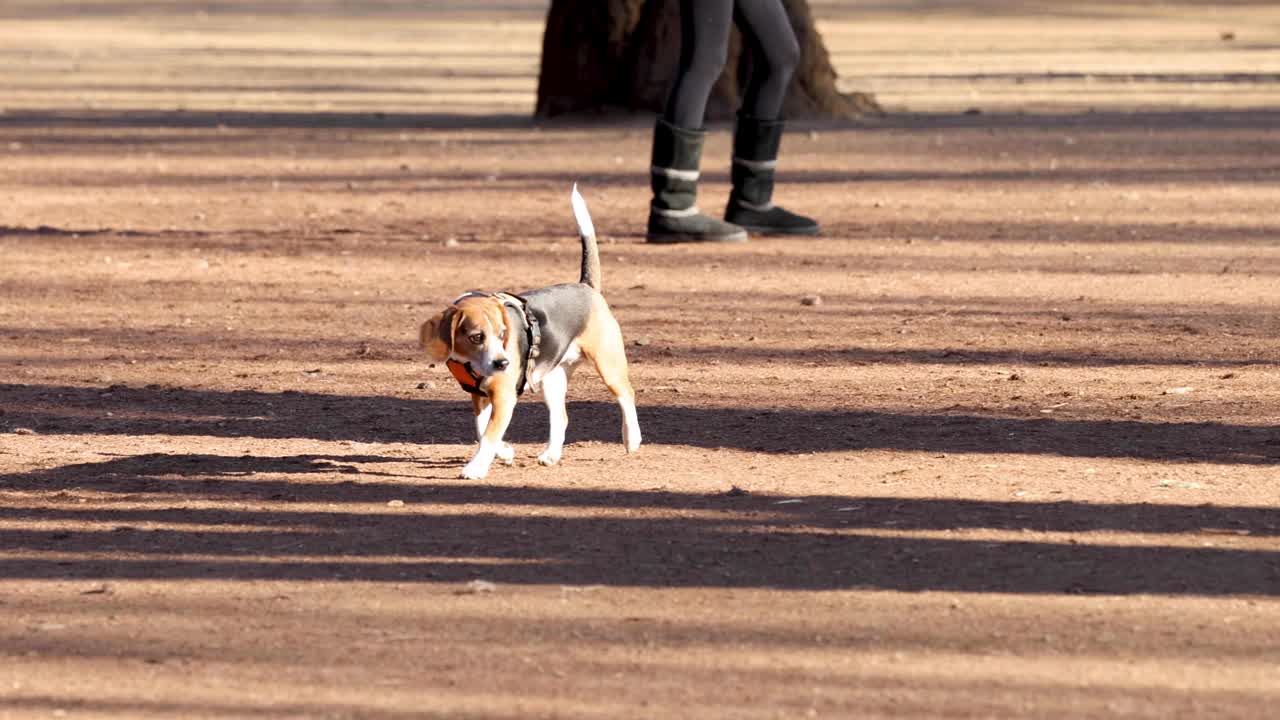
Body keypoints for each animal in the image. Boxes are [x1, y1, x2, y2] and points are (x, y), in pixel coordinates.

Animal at [419, 184, 640, 476]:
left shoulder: (503, 395)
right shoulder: (480, 396)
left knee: (626, 395)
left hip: (608, 365)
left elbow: (488, 435)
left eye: (503, 334)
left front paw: (476, 468)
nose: (503, 363)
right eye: (476, 337)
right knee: (561, 417)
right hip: (552, 379)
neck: (471, 363)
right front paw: (505, 452)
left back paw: (632, 438)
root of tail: (586, 286)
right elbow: (481, 429)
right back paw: (551, 455)